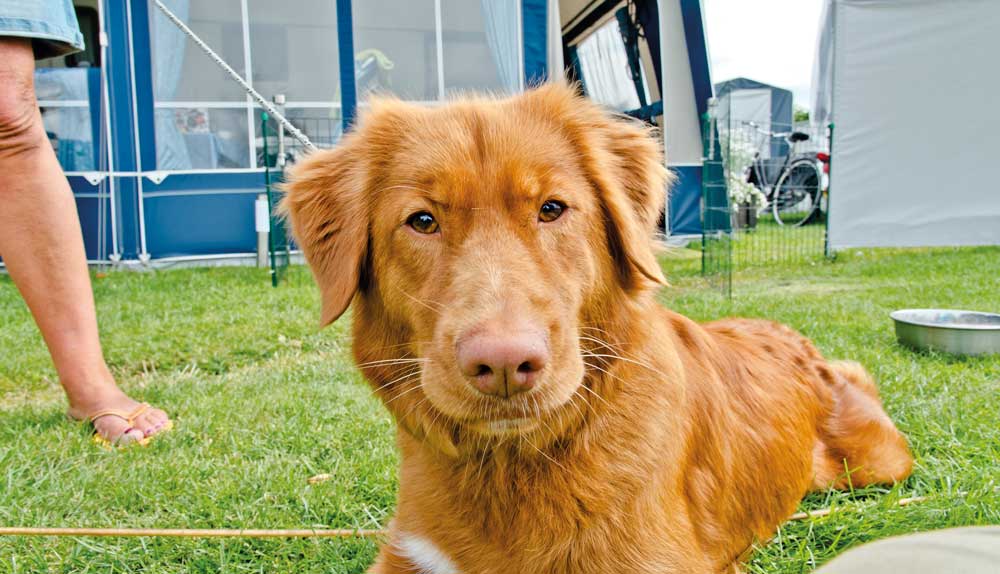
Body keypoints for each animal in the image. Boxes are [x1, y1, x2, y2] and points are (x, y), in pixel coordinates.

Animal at [282, 85, 916, 574]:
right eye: (422, 221)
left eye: (552, 208)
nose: (504, 364)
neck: (511, 466)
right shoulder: (408, 553)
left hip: (877, 464)